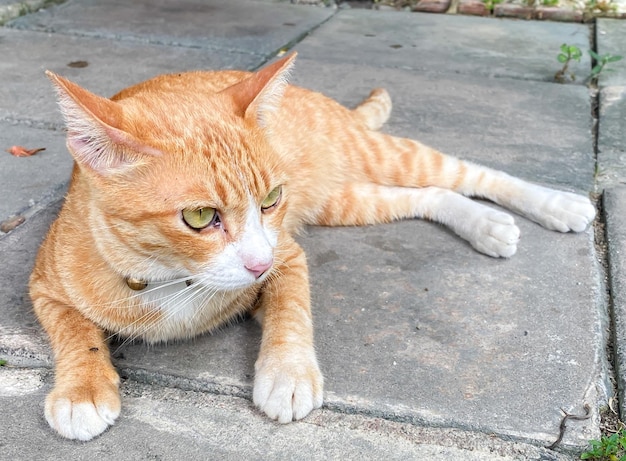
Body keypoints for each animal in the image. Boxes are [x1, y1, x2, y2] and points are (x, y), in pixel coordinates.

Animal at [30, 52, 596, 440]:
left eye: (270, 199)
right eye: (200, 217)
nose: (257, 266)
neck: (172, 280)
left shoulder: (287, 253)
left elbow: (291, 310)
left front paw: (288, 373)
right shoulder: (43, 286)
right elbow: (74, 330)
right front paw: (82, 389)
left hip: (380, 158)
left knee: (470, 172)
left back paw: (556, 204)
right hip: (344, 201)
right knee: (429, 194)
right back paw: (485, 224)